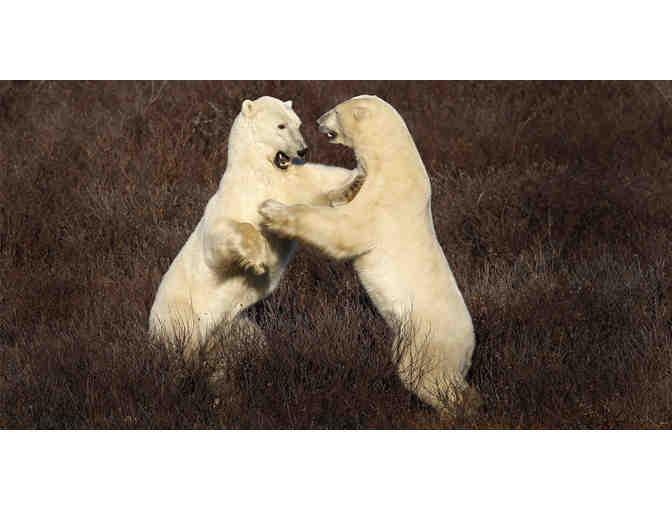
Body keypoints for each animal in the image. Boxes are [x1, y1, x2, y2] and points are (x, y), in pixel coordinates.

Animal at [149, 96, 363, 355]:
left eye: (298, 124)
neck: (260, 170)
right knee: (182, 334)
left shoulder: (290, 182)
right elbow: (224, 236)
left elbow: (317, 182)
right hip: (179, 310)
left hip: (233, 326)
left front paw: (355, 180)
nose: (303, 149)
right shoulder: (235, 201)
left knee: (248, 340)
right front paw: (258, 259)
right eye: (281, 126)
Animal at [259, 95, 477, 414]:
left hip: (426, 341)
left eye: (336, 111)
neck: (394, 160)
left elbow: (344, 229)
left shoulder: (385, 200)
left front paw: (272, 211)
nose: (318, 120)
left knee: (428, 379)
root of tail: (468, 350)